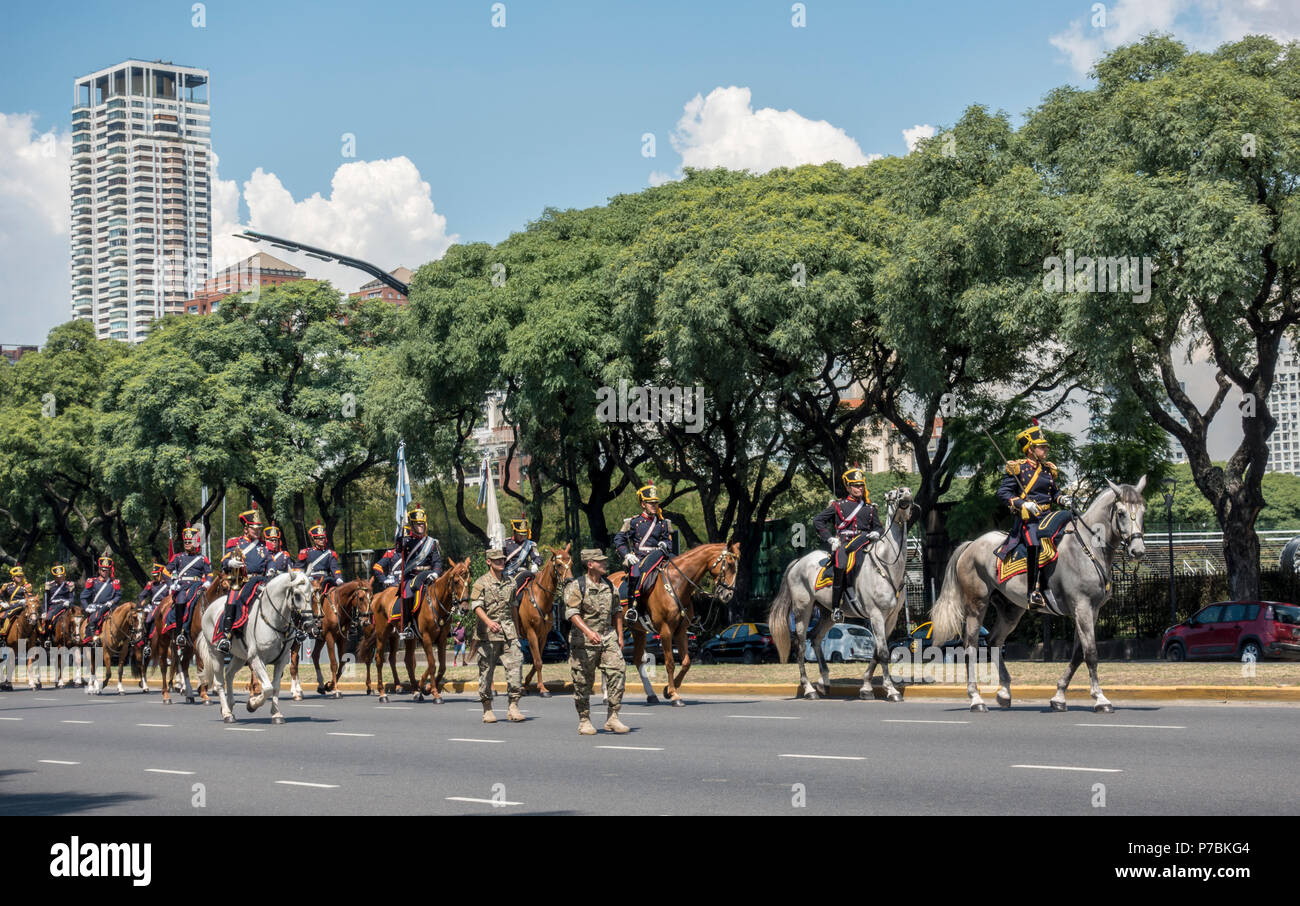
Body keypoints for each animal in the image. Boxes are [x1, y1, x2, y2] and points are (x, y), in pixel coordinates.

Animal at [196, 571, 315, 727]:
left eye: (312, 593)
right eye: (297, 594)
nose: (309, 624)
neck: (273, 619)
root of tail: (209, 609)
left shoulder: (281, 660)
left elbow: (275, 687)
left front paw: (276, 714)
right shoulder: (256, 658)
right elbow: (268, 688)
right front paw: (252, 704)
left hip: (240, 657)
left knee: (229, 674)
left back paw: (229, 706)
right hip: (216, 654)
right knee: (219, 682)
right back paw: (227, 713)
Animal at [408, 558, 475, 701]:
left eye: (470, 580)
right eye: (456, 581)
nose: (465, 608)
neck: (436, 604)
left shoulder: (441, 639)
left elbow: (441, 666)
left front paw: (426, 687)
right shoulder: (426, 638)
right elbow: (432, 665)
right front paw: (435, 693)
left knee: (408, 660)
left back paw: (417, 689)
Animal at [517, 543, 574, 701]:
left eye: (571, 563)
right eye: (559, 564)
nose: (569, 581)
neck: (540, 598)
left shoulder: (542, 635)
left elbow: (538, 660)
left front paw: (526, 685)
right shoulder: (531, 633)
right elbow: (537, 661)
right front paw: (542, 689)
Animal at [605, 540, 738, 701]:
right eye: (729, 564)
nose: (728, 594)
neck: (677, 584)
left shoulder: (680, 631)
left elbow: (686, 662)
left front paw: (667, 690)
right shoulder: (665, 630)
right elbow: (670, 663)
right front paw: (674, 695)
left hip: (638, 631)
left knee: (637, 660)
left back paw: (651, 695)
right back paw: (606, 696)